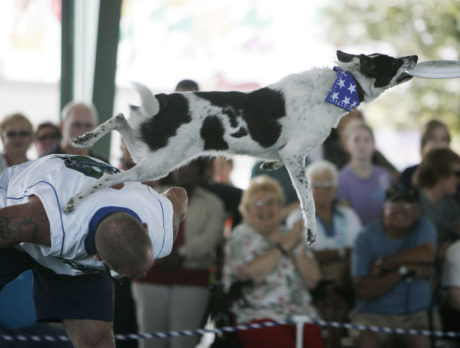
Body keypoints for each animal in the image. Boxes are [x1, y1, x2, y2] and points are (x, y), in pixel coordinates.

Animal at [63, 49, 418, 245]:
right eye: (391, 61)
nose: (414, 57)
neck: (342, 86)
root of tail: (166, 102)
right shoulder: (296, 155)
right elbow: (310, 203)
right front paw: (311, 231)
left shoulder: (290, 156)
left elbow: (278, 163)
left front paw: (269, 164)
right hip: (156, 163)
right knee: (108, 177)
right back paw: (73, 200)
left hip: (149, 151)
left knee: (122, 116)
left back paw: (85, 139)